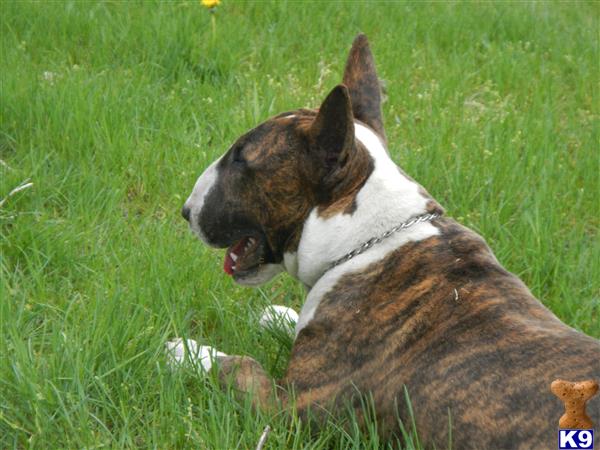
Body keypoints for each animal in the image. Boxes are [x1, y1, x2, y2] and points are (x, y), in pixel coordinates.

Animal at [175, 34, 600, 446]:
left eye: (241, 159)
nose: (186, 210)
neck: (366, 239)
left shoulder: (291, 410)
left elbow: (238, 366)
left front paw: (186, 351)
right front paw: (277, 314)